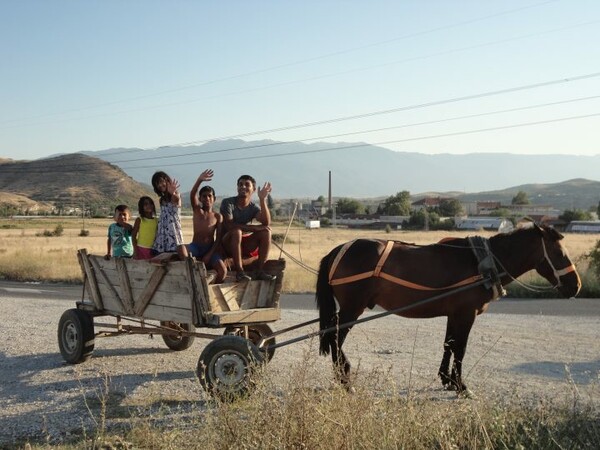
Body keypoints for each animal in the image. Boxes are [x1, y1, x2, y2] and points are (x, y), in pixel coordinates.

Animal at [314, 223, 580, 396]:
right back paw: (345, 380)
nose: (575, 285)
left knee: (333, 337)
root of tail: (340, 249)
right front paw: (461, 386)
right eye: (559, 253)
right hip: (352, 308)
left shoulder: (455, 314)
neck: (481, 263)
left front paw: (447, 379)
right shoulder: (466, 313)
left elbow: (448, 345)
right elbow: (460, 348)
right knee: (335, 337)